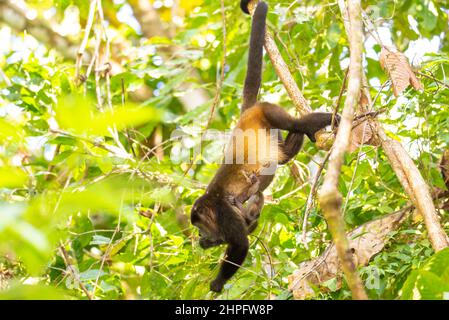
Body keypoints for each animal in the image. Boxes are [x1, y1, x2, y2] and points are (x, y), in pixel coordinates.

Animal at [190, 0, 340, 292]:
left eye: (201, 226)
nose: (201, 237)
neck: (212, 205)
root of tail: (247, 114)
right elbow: (250, 224)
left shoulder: (224, 213)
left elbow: (241, 244)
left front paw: (217, 282)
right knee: (284, 153)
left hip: (269, 111)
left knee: (295, 123)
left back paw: (327, 119)